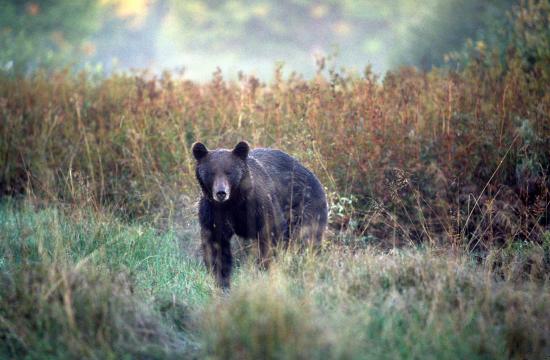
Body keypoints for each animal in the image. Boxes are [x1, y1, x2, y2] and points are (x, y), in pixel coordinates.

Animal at [192, 140, 328, 286]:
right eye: (211, 172)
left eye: (229, 172)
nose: (221, 193)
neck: (234, 201)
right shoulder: (213, 212)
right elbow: (215, 246)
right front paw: (221, 280)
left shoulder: (260, 206)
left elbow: (271, 235)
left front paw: (265, 269)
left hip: (304, 206)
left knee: (307, 239)